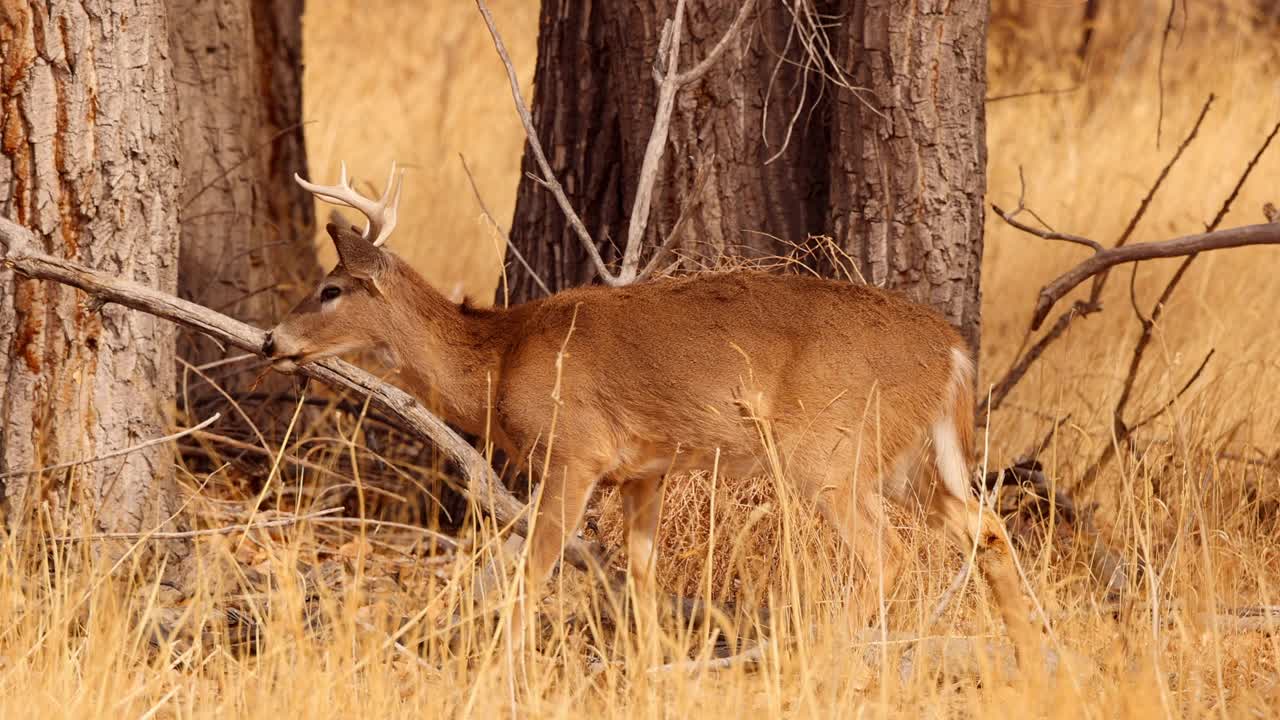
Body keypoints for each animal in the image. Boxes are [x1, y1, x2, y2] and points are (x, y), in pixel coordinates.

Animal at [259, 165, 1039, 661]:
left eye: (330, 289)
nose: (271, 342)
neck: (499, 359)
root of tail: (953, 352)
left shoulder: (573, 455)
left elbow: (533, 575)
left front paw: (502, 670)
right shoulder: (646, 469)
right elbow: (639, 579)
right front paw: (649, 668)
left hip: (832, 451)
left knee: (891, 556)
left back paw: (810, 653)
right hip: (912, 460)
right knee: (988, 530)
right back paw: (1029, 664)